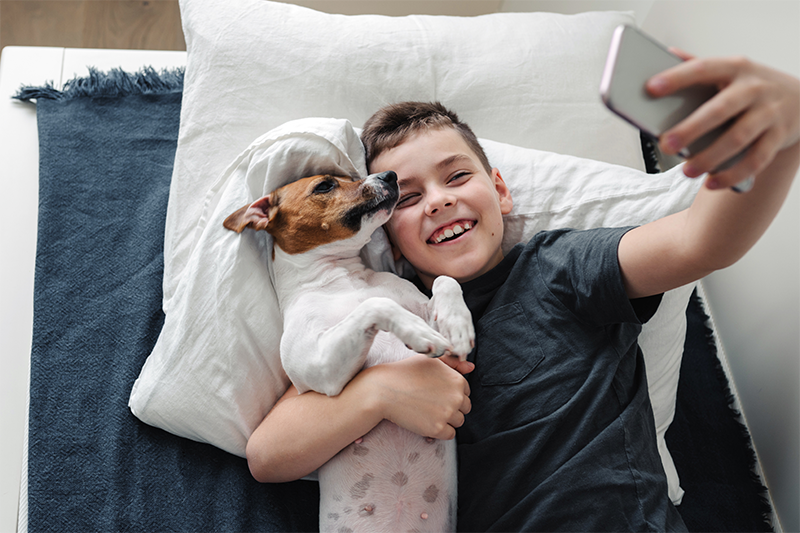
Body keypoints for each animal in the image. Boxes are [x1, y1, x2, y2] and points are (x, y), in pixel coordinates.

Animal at [223, 171, 476, 532]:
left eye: (351, 176)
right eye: (325, 185)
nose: (389, 176)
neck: (341, 278)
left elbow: (445, 280)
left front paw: (458, 323)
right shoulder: (319, 367)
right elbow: (376, 304)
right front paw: (417, 332)